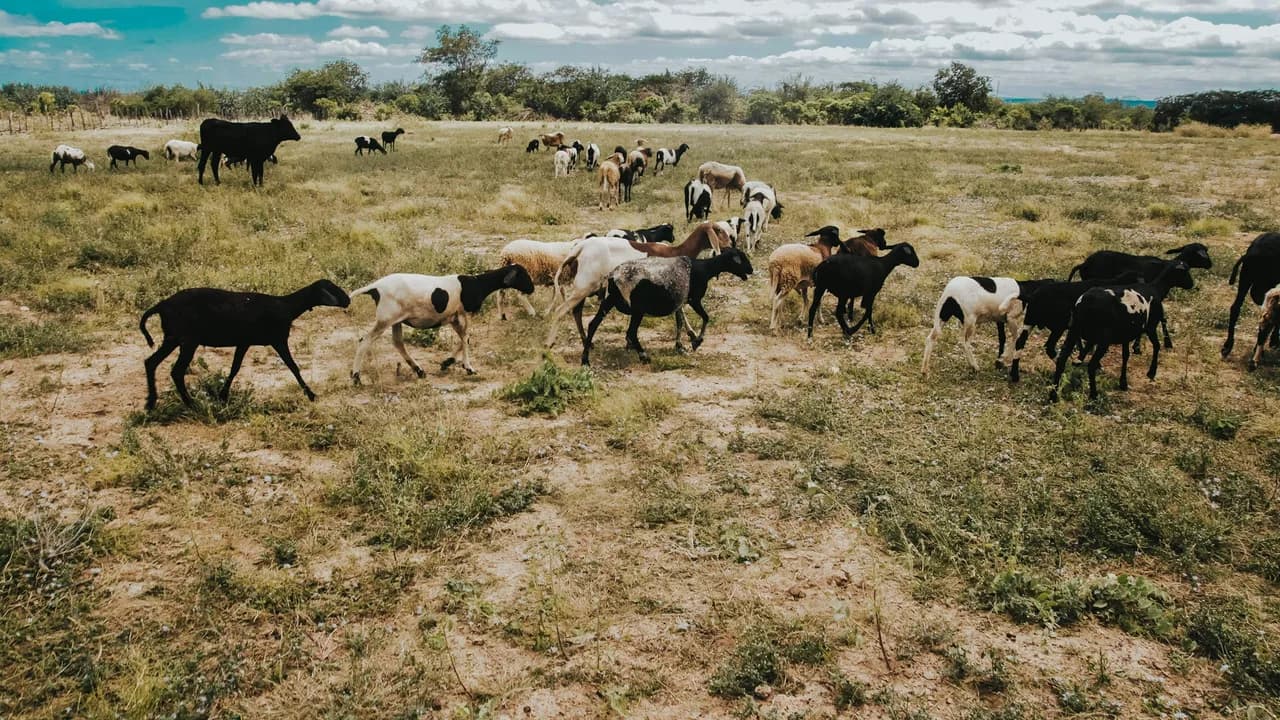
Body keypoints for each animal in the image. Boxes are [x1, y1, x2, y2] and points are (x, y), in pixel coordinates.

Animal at [138, 279, 350, 410]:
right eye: (331, 289)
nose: (348, 300)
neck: (287, 306)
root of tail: (161, 305)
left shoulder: (244, 342)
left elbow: (234, 369)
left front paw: (223, 396)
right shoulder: (278, 340)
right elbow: (293, 366)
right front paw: (311, 395)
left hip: (173, 338)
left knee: (151, 362)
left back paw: (151, 403)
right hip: (187, 341)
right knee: (176, 371)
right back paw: (190, 404)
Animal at [351, 265, 535, 384]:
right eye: (523, 274)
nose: (532, 288)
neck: (477, 284)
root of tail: (375, 288)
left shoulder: (453, 317)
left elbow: (464, 338)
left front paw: (447, 362)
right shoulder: (462, 314)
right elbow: (466, 338)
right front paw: (468, 367)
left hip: (397, 320)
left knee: (398, 343)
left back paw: (419, 371)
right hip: (385, 319)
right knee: (365, 341)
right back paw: (356, 377)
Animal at [580, 248, 754, 365]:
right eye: (741, 258)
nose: (751, 270)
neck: (704, 269)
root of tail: (613, 277)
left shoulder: (679, 301)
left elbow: (680, 321)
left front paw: (682, 345)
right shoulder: (694, 299)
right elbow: (705, 317)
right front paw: (696, 342)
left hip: (609, 300)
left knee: (593, 324)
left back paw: (585, 360)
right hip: (637, 309)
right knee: (631, 332)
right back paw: (644, 356)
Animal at [1049, 262, 1194, 401]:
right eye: (1185, 272)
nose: (1192, 284)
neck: (1157, 288)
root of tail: (1085, 303)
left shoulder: (1125, 334)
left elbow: (1125, 356)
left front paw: (1123, 382)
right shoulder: (1151, 326)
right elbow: (1156, 346)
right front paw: (1151, 372)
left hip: (1074, 331)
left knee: (1061, 360)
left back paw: (1053, 395)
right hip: (1103, 339)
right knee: (1091, 365)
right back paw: (1093, 395)